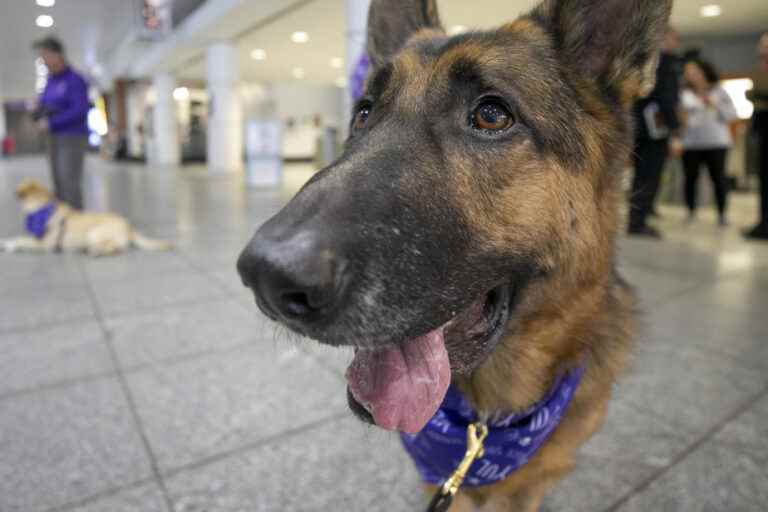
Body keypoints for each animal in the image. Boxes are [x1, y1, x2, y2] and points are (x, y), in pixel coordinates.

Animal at [1, 179, 172, 258]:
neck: (42, 209)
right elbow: (17, 237)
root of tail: (129, 226)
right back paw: (88, 249)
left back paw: (95, 251)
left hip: (94, 233)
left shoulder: (43, 244)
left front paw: (9, 246)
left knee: (116, 248)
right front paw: (4, 242)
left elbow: (20, 239)